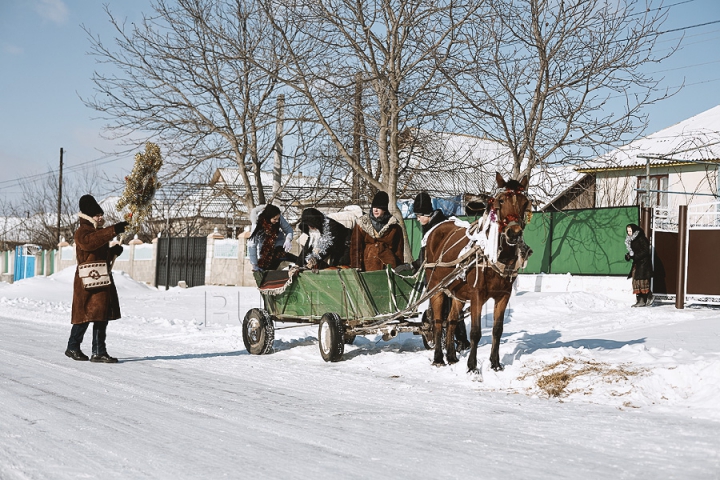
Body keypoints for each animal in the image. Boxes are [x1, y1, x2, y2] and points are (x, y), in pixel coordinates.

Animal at [424, 171, 532, 374]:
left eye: (524, 202)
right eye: (501, 201)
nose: (514, 233)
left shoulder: (503, 296)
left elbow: (497, 330)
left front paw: (495, 363)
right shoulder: (477, 296)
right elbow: (475, 332)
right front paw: (472, 366)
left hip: (457, 293)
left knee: (451, 320)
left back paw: (451, 356)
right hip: (437, 288)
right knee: (438, 322)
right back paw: (438, 358)